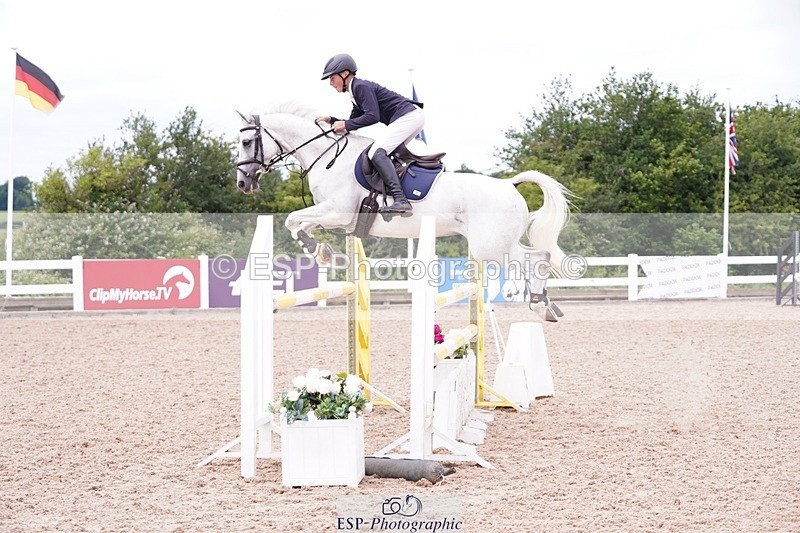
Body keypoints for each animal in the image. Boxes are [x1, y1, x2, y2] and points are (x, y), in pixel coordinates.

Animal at [234, 102, 574, 320]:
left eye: (248, 141)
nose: (242, 182)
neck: (328, 156)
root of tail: (508, 184)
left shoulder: (338, 213)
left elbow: (293, 220)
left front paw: (323, 253)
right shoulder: (333, 216)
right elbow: (300, 224)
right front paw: (325, 252)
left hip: (489, 246)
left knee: (537, 258)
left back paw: (539, 304)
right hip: (498, 243)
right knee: (537, 258)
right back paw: (545, 303)